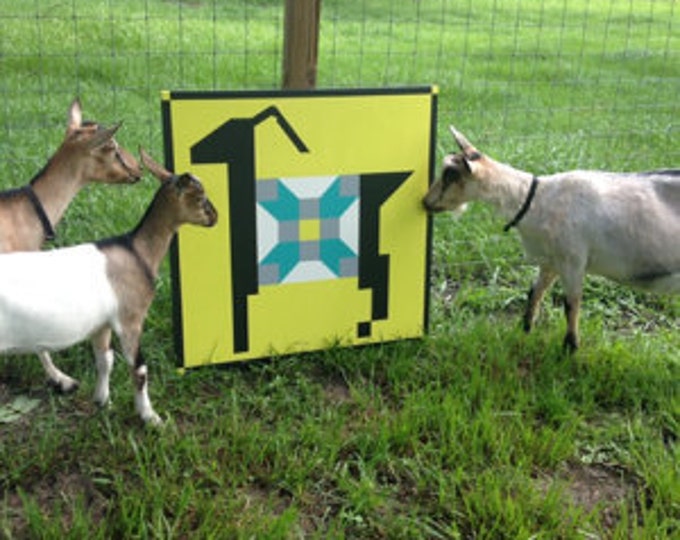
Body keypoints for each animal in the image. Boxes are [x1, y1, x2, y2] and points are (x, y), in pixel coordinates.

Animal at [0, 150, 218, 424]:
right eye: (199, 197)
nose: (215, 217)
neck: (136, 252)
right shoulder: (129, 318)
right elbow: (139, 368)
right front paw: (151, 418)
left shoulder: (102, 324)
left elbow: (105, 360)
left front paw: (102, 401)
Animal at [423, 126, 680, 351]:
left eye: (450, 175)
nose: (426, 202)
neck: (536, 199)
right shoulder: (550, 260)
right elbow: (534, 292)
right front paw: (525, 330)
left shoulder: (573, 260)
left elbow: (571, 305)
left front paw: (570, 349)